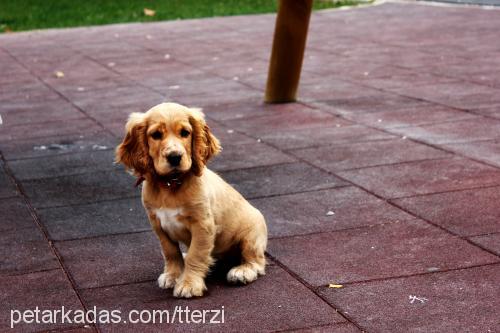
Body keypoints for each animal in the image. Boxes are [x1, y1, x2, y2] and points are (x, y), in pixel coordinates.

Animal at [115, 102, 268, 296]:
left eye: (185, 133)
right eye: (156, 135)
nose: (174, 157)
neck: (171, 184)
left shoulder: (202, 224)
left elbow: (196, 255)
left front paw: (189, 284)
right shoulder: (157, 224)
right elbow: (170, 251)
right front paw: (173, 275)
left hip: (251, 235)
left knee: (256, 260)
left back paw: (242, 271)